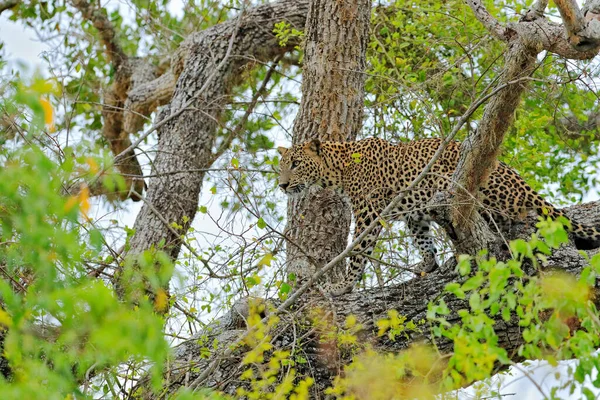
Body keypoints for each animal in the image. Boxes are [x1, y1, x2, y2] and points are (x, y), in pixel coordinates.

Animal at [276, 136, 600, 296]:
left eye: (296, 164)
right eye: (282, 165)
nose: (281, 185)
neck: (337, 170)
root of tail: (519, 180)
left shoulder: (369, 214)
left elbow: (357, 253)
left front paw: (342, 286)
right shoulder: (413, 212)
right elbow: (422, 238)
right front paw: (428, 264)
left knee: (512, 218)